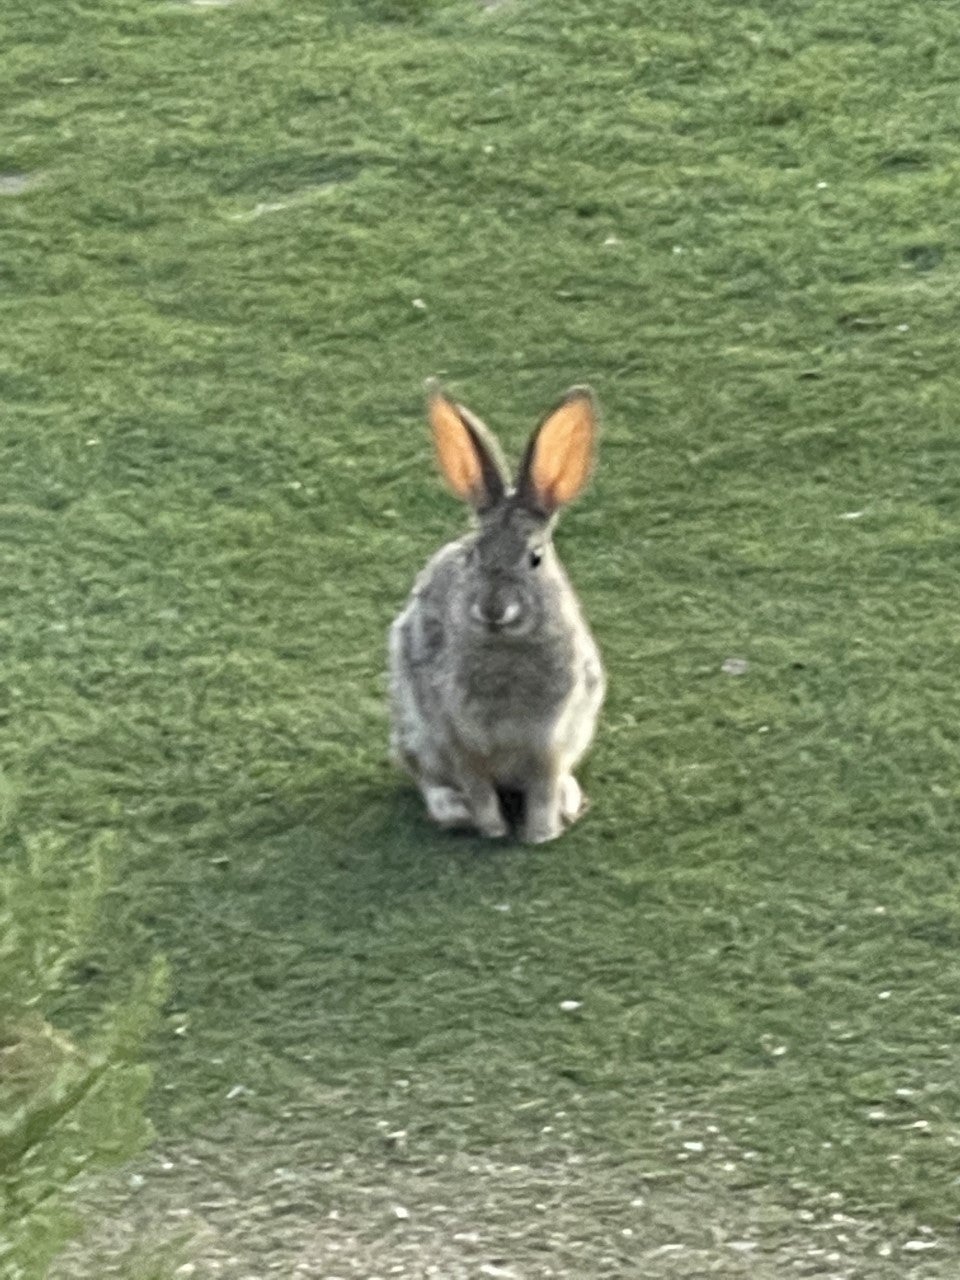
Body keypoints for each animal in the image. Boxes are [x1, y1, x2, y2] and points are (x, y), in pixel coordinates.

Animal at [386, 376, 604, 839]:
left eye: (535, 558)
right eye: (473, 555)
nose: (492, 609)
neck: (506, 647)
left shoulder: (548, 743)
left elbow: (543, 790)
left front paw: (541, 835)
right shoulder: (459, 739)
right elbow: (478, 788)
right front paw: (493, 831)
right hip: (415, 733)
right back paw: (452, 810)